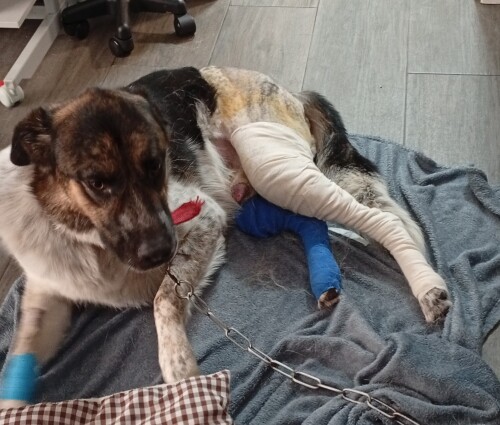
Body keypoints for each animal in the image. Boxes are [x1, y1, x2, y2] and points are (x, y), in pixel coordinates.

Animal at [0, 66, 451, 407]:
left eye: (157, 164)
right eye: (96, 182)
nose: (162, 250)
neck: (88, 236)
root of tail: (290, 90)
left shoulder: (203, 221)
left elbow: (163, 302)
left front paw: (182, 375)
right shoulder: (48, 293)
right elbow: (19, 354)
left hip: (276, 170)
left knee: (383, 222)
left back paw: (427, 289)